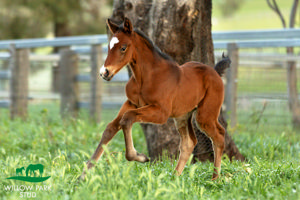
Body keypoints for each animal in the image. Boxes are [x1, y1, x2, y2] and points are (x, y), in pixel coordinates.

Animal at [85, 17, 231, 180]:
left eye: (123, 48)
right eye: (109, 47)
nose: (104, 72)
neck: (146, 77)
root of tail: (215, 72)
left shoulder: (161, 113)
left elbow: (127, 118)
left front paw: (140, 157)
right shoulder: (131, 103)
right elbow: (111, 128)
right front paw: (83, 175)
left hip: (205, 115)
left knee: (219, 136)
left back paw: (215, 179)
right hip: (182, 116)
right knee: (189, 143)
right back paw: (175, 178)